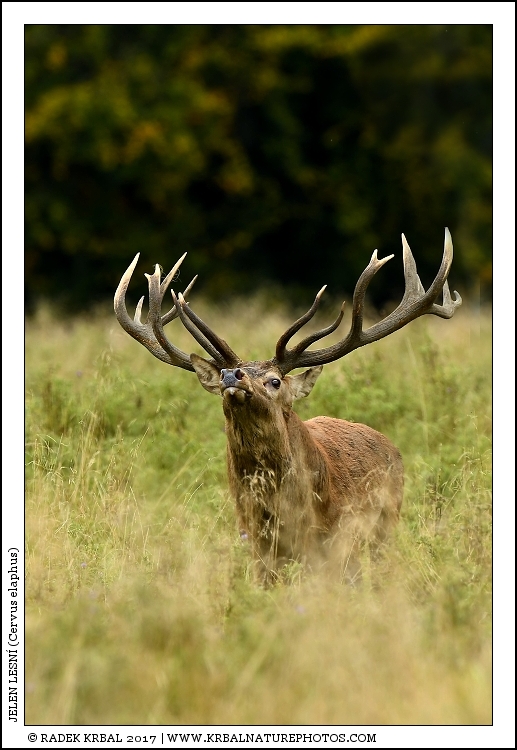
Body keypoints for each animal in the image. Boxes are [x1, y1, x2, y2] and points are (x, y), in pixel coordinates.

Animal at [114, 228, 461, 585]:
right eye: (226, 373)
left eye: (275, 381)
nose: (231, 374)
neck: (278, 512)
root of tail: (392, 446)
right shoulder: (255, 544)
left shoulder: (329, 545)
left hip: (385, 525)